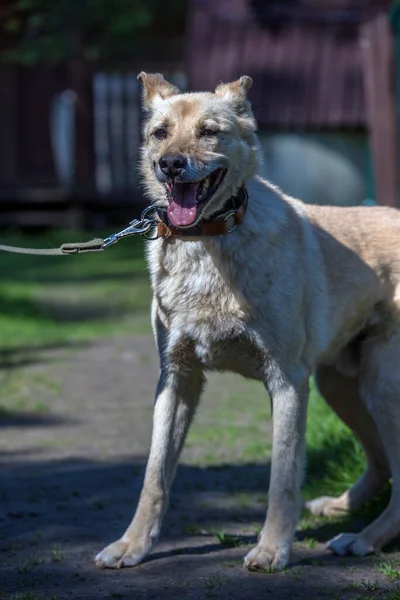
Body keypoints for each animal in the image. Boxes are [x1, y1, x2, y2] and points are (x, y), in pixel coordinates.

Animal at [95, 74, 398, 572]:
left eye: (208, 132)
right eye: (160, 133)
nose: (170, 165)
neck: (206, 243)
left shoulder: (287, 382)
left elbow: (282, 479)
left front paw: (273, 549)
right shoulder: (176, 380)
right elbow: (154, 476)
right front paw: (131, 545)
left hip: (380, 388)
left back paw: (365, 538)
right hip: (341, 386)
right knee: (383, 463)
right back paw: (342, 508)